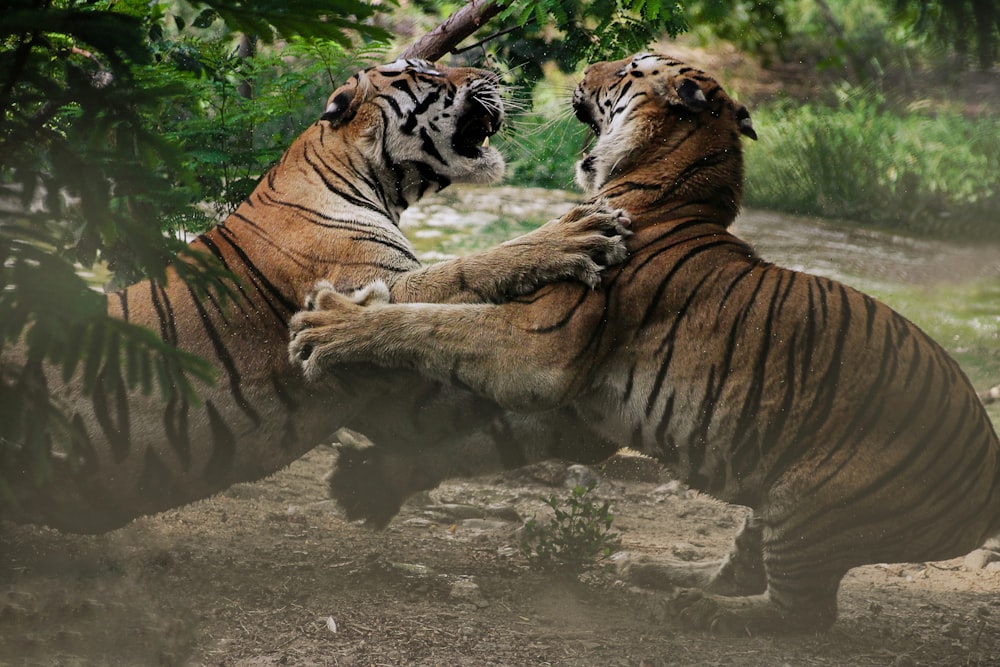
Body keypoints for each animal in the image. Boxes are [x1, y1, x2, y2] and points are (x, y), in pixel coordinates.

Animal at [0, 60, 632, 536]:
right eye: (427, 70)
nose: (494, 71)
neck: (368, 179)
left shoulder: (398, 401)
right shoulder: (377, 291)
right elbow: (465, 272)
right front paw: (576, 233)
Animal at [288, 53, 1000, 636]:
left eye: (629, 67)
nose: (584, 69)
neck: (668, 184)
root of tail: (987, 471)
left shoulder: (541, 350)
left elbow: (429, 321)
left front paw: (330, 326)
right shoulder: (582, 411)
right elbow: (479, 442)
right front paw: (370, 483)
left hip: (811, 507)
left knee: (805, 612)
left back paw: (699, 609)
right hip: (772, 505)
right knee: (744, 568)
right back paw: (653, 570)